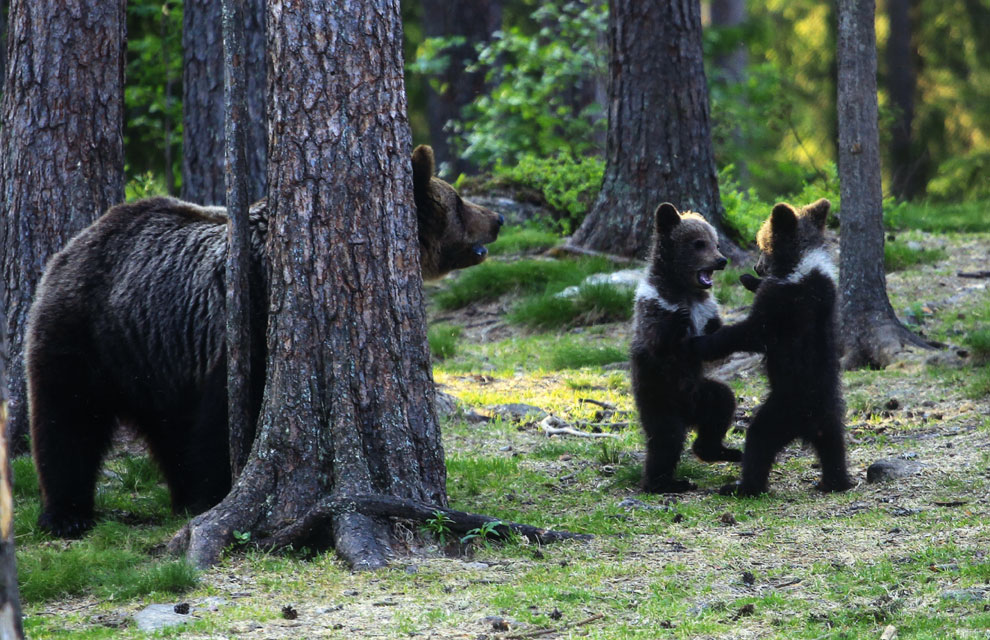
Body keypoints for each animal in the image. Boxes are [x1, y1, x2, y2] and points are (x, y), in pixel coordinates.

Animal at [27, 145, 504, 536]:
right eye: (459, 201)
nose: (497, 220)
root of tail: (78, 240)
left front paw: (202, 494)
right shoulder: (246, 325)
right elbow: (225, 420)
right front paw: (217, 491)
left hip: (155, 355)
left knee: (165, 428)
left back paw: (177, 494)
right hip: (88, 331)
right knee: (67, 418)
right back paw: (67, 514)